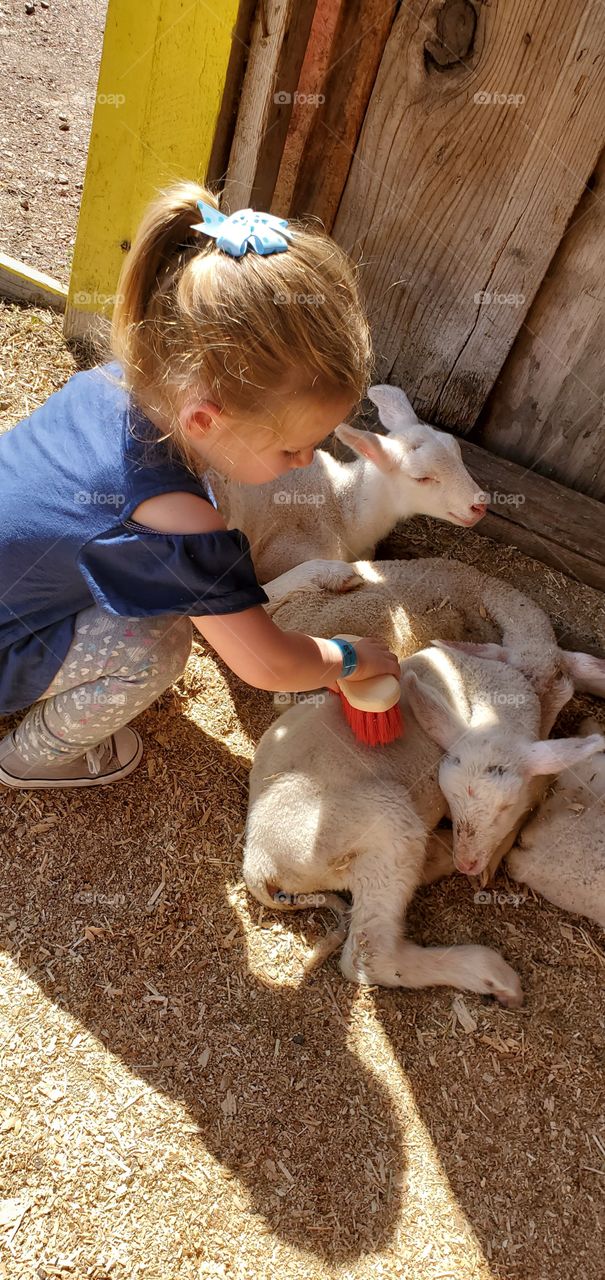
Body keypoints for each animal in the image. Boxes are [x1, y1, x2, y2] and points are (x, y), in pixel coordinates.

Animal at [237, 645, 601, 1003]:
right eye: (450, 797)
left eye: (504, 807)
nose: (468, 863)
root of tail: (258, 862)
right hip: (381, 820)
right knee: (369, 956)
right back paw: (490, 974)